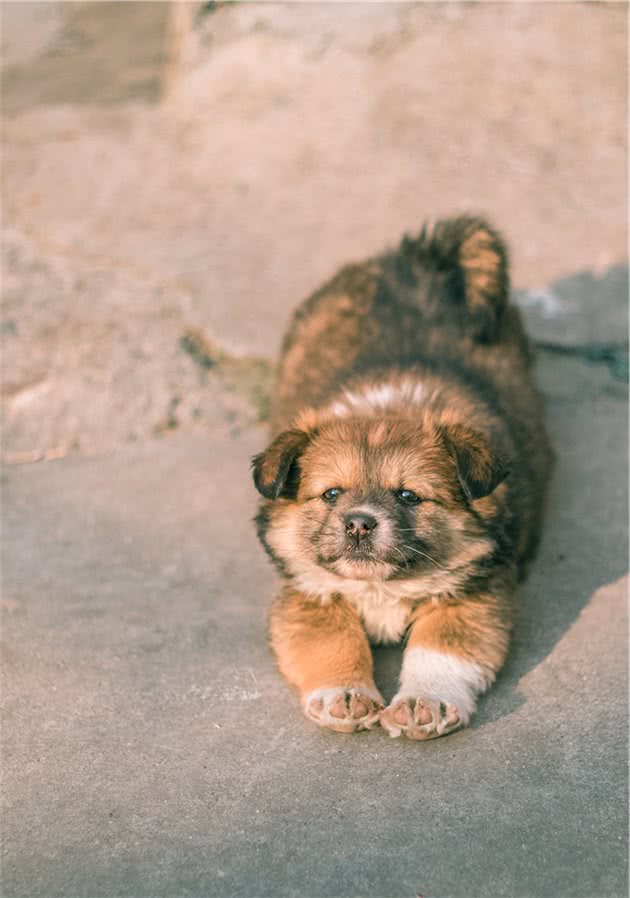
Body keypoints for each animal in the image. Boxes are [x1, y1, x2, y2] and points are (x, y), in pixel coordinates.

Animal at [252, 215, 552, 736]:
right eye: (331, 494)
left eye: (410, 496)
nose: (358, 524)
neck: (381, 584)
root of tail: (416, 257)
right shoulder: (308, 596)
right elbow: (333, 642)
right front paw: (344, 697)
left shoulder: (472, 598)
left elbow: (439, 650)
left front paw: (422, 705)